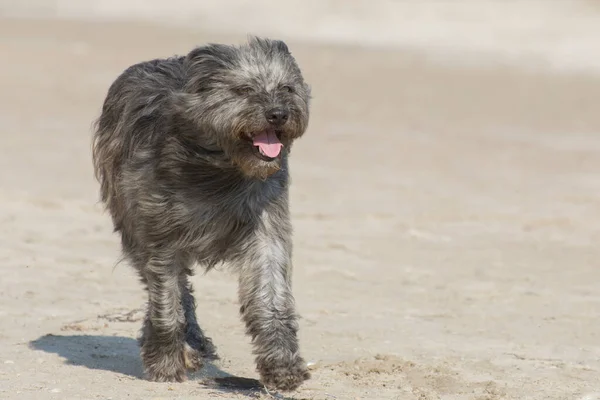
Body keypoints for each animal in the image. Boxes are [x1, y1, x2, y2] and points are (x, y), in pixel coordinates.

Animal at [92, 36, 314, 392]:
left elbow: (271, 297)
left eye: (287, 88)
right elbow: (167, 302)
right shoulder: (160, 236)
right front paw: (167, 361)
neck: (219, 168)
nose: (278, 114)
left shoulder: (266, 229)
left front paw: (282, 366)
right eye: (244, 89)